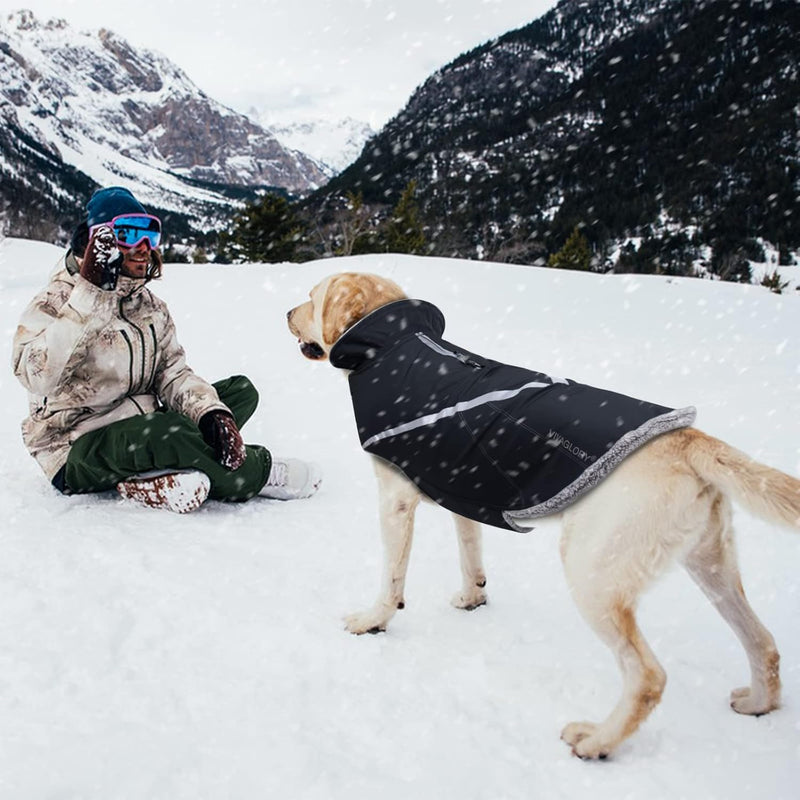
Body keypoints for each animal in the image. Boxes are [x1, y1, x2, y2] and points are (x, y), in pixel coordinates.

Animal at [288, 272, 800, 760]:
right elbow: (470, 552)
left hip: (592, 573)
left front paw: (373, 620)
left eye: (313, 297)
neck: (395, 343)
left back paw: (597, 741)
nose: (287, 313)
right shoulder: (461, 491)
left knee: (649, 676)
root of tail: (690, 439)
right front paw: (473, 597)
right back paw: (758, 702)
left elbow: (392, 578)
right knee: (764, 642)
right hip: (711, 565)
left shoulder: (395, 499)